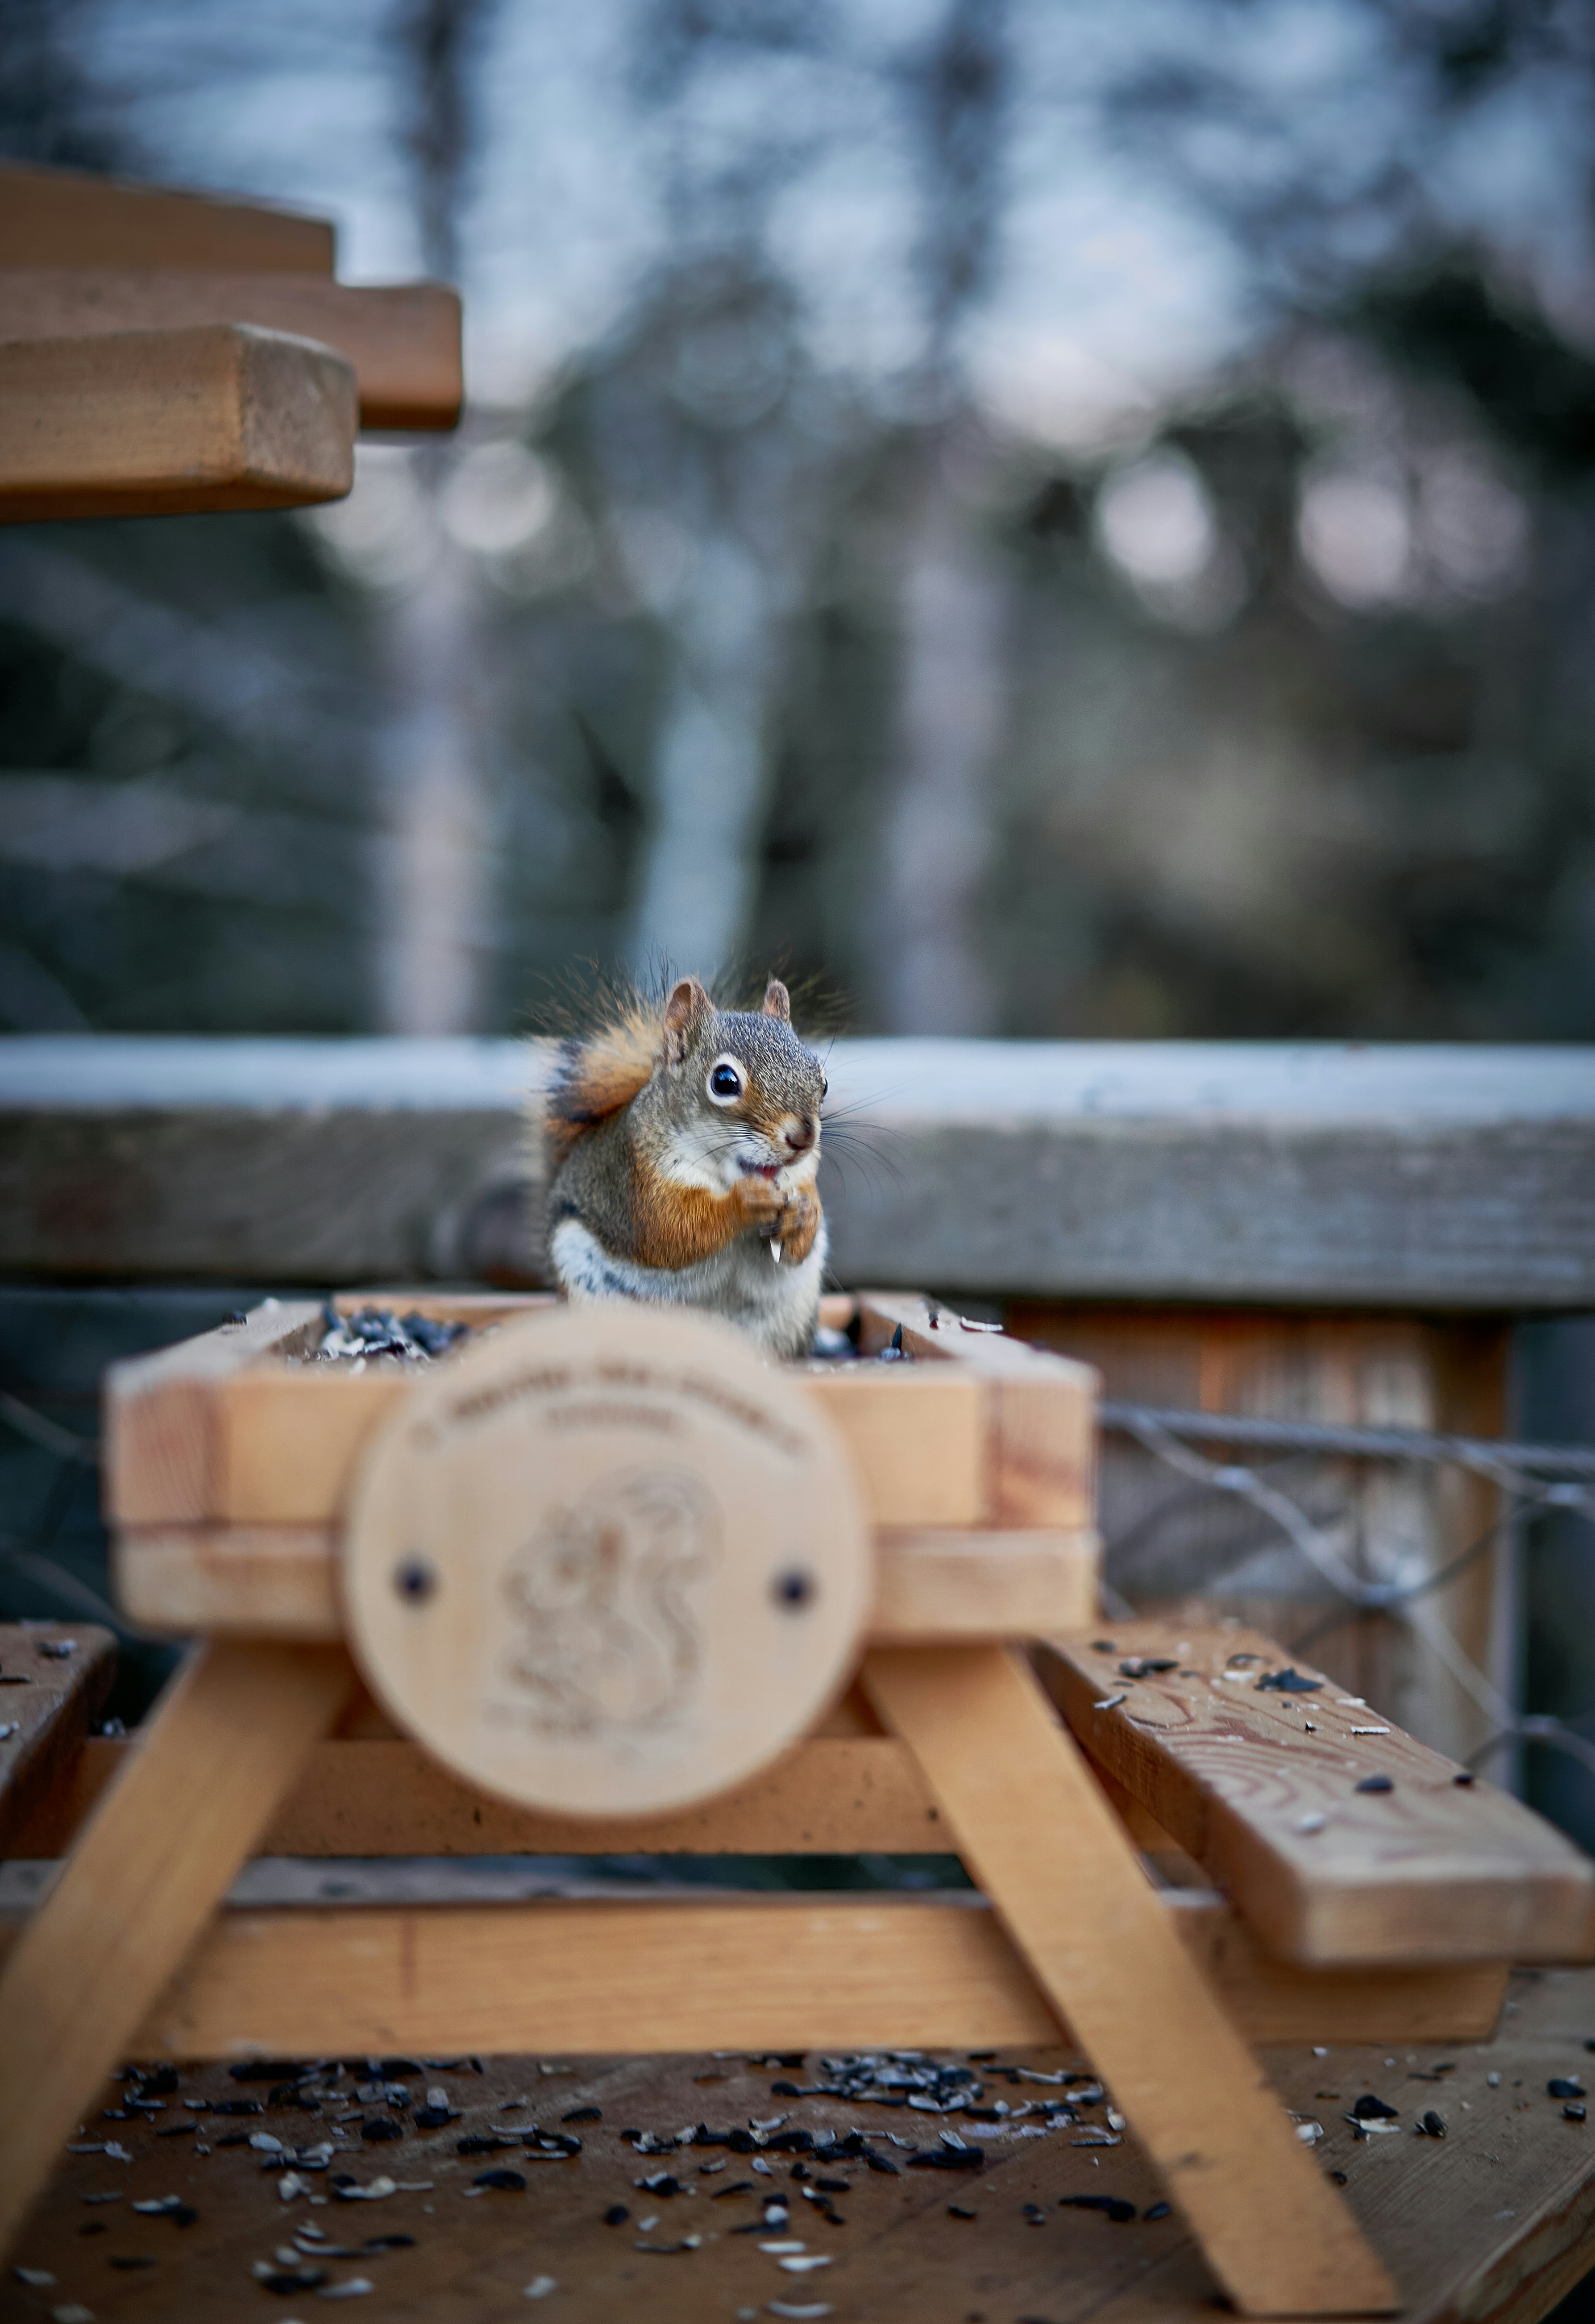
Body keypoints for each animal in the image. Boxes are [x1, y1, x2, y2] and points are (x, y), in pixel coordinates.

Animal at [542, 973, 828, 1359]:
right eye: (724, 1081)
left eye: (823, 1082)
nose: (803, 1139)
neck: (725, 1174)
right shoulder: (639, 1182)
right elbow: (670, 1231)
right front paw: (746, 1201)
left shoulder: (803, 1176)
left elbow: (800, 1245)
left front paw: (804, 1214)